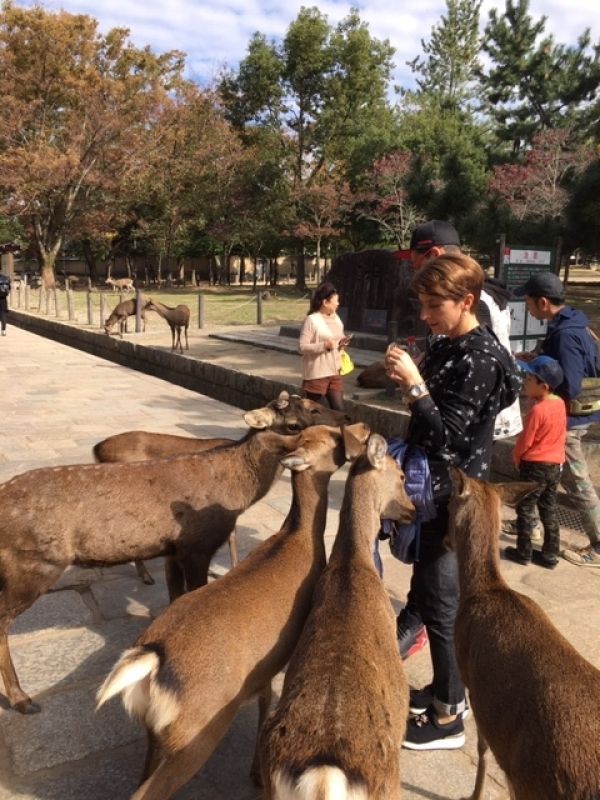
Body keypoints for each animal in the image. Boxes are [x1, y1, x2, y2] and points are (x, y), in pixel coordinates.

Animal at [0, 422, 352, 716]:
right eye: (304, 416)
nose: (349, 429)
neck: (237, 492)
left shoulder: (175, 549)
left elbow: (175, 592)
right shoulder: (197, 545)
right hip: (33, 565)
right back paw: (22, 699)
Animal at [91, 394, 350, 588]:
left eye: (313, 403)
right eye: (294, 424)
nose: (345, 417)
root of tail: (97, 449)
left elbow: (232, 535)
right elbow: (230, 537)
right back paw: (145, 576)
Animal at [96, 422, 370, 800]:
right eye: (330, 436)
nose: (360, 428)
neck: (298, 540)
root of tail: (150, 659)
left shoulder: (264, 667)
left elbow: (264, 700)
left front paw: (255, 770)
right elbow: (266, 706)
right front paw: (255, 774)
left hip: (156, 733)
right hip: (196, 735)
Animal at [448, 468, 596, 800]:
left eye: (447, 504)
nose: (443, 540)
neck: (485, 589)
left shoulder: (471, 681)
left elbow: (482, 749)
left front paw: (473, 794)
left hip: (535, 780)